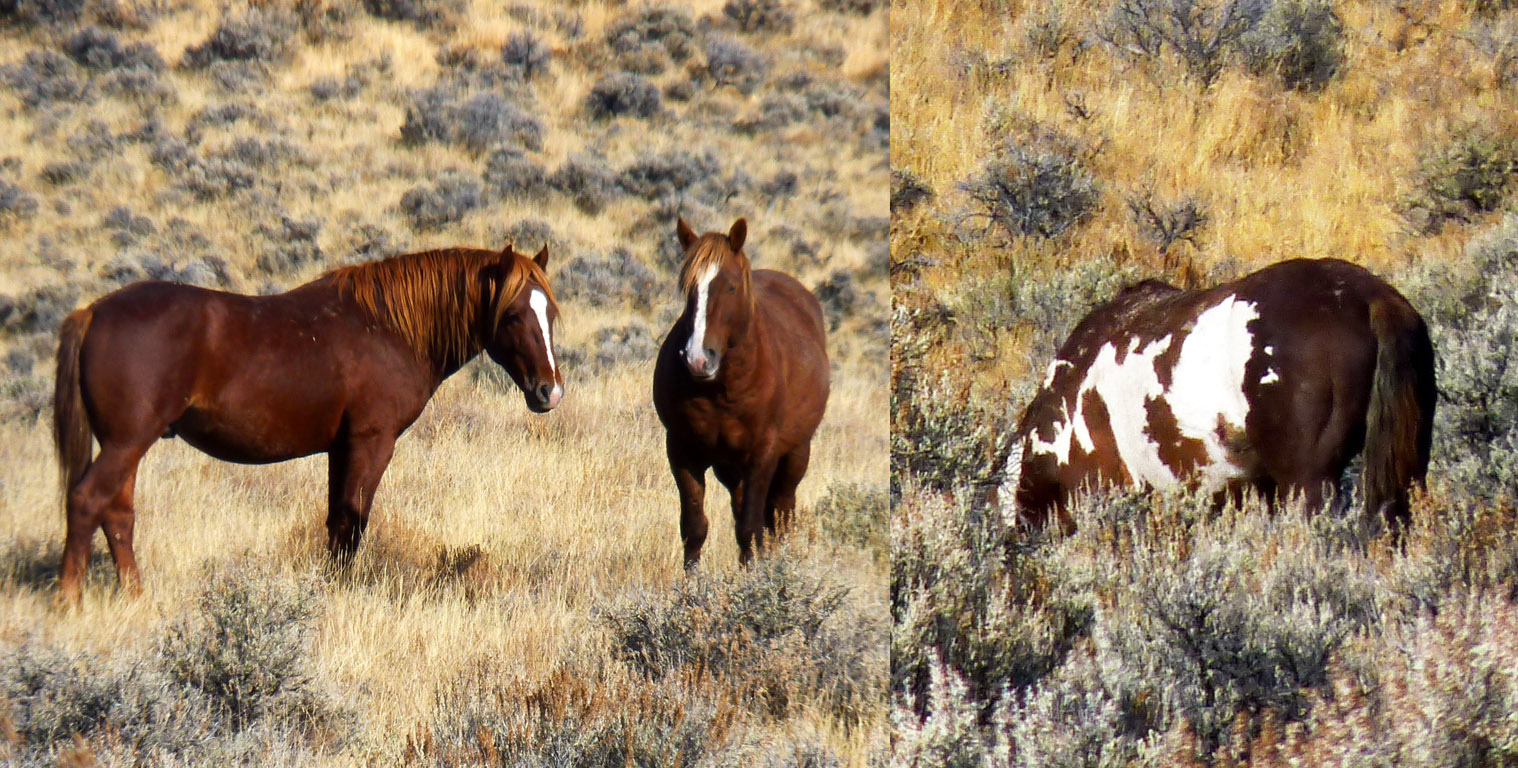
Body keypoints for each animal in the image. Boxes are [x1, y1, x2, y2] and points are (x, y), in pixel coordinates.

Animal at [52, 245, 563, 604]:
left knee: (118, 514)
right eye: (513, 315)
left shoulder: (340, 448)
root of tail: (92, 311)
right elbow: (353, 522)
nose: (549, 392)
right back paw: (69, 602)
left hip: (126, 446)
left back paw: (136, 599)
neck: (387, 329)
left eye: (551, 313)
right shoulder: (370, 443)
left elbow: (336, 522)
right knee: (86, 501)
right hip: (126, 443)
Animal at [652, 218, 830, 567]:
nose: (697, 358)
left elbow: (751, 528)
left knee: (781, 513)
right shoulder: (681, 450)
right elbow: (695, 528)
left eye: (731, 287)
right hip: (729, 467)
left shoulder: (763, 453)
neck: (723, 390)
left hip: (796, 454)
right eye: (688, 289)